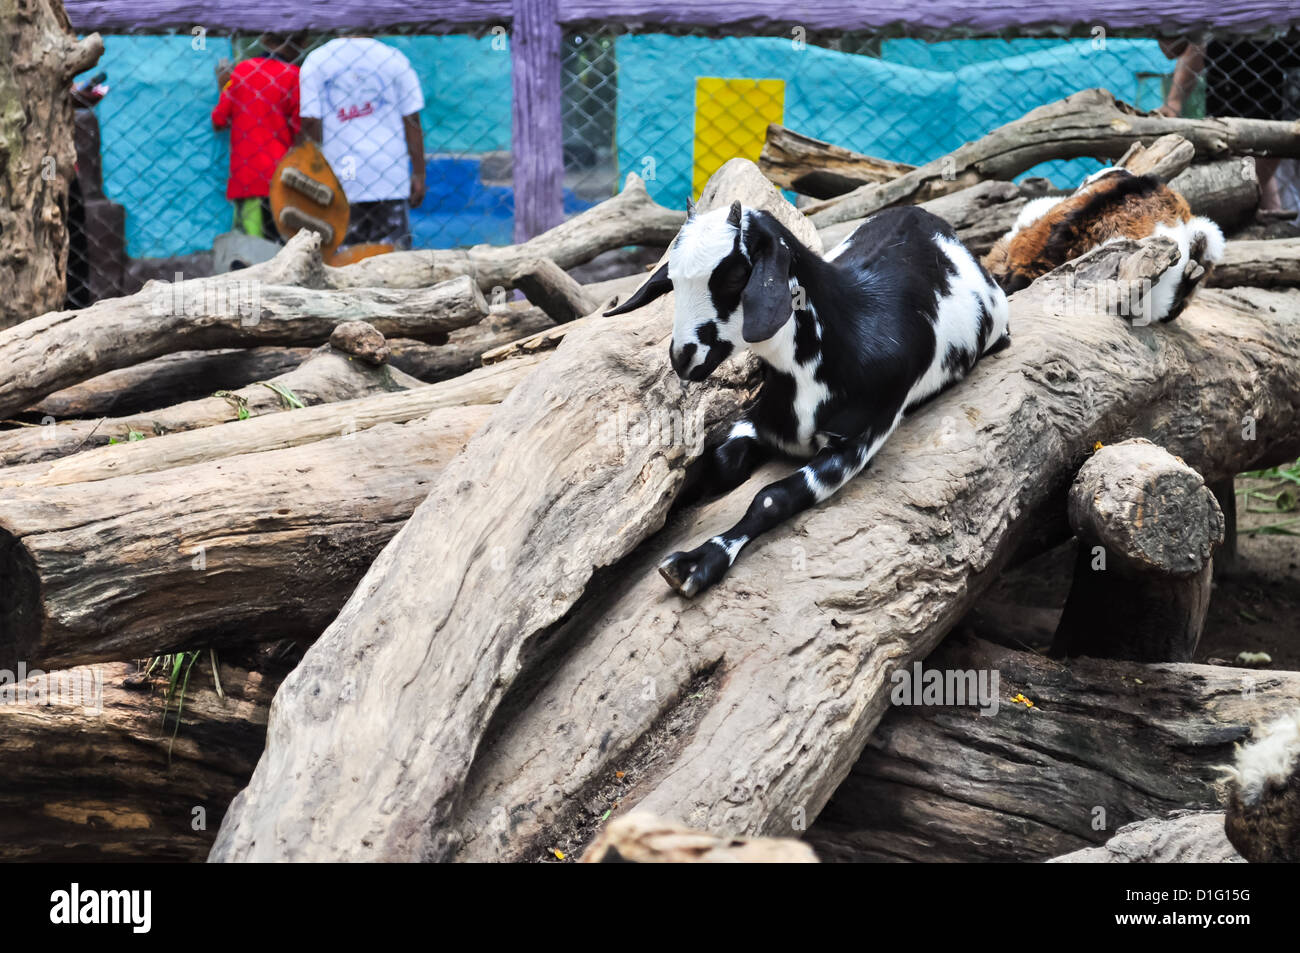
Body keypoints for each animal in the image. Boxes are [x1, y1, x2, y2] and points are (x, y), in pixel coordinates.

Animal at [603, 200, 1008, 598]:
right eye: (671, 280)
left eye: (734, 276)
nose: (683, 357)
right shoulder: (759, 419)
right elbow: (723, 462)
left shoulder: (855, 443)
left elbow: (773, 497)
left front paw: (697, 563)